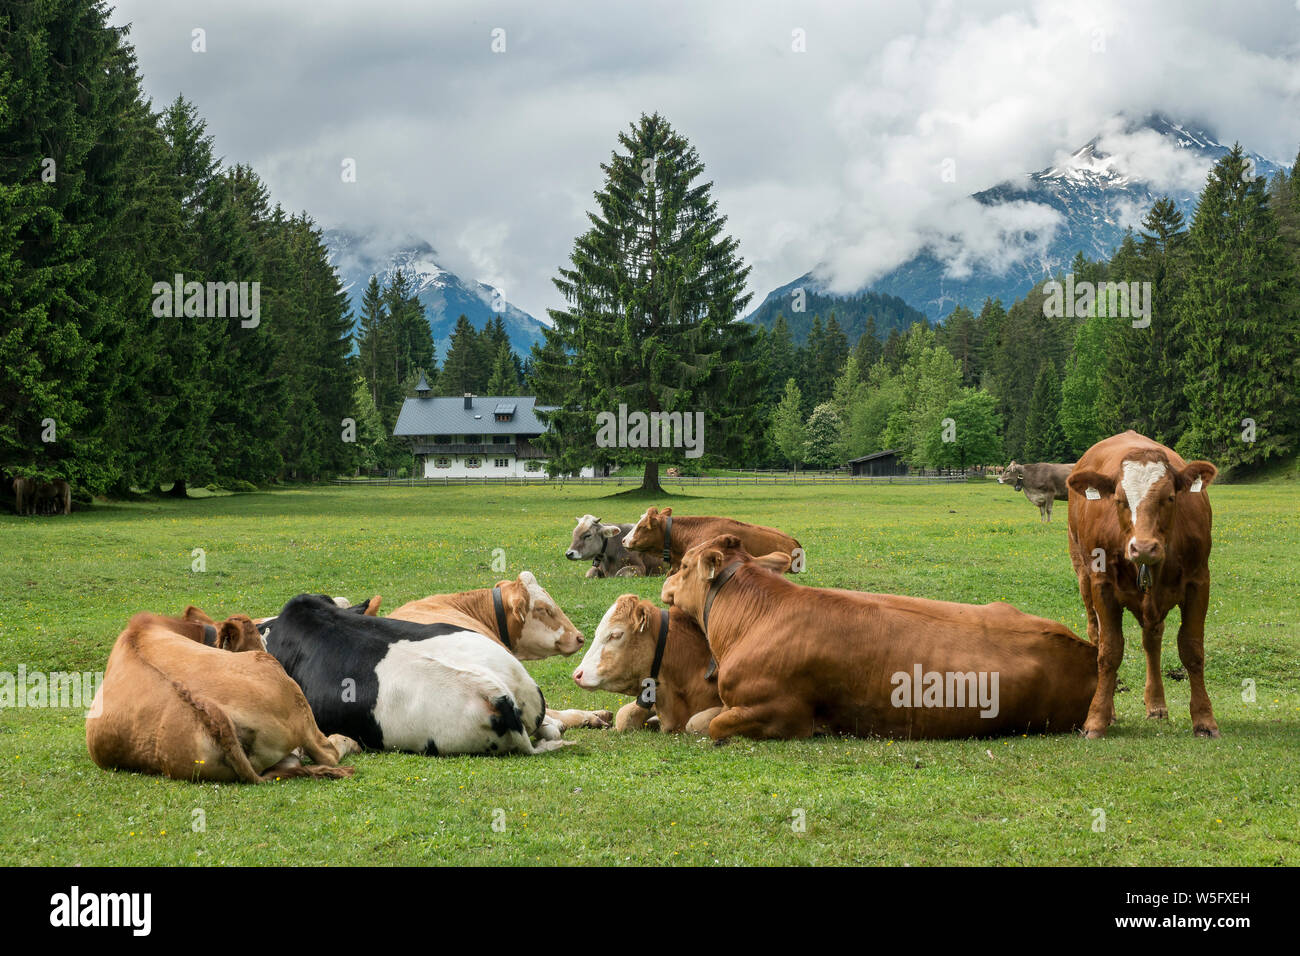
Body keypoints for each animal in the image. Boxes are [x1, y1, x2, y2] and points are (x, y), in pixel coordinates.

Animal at [660, 535, 1097, 743]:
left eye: (683, 566)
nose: (664, 582)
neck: (752, 617)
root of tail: (1085, 647)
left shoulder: (780, 712)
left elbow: (709, 726)